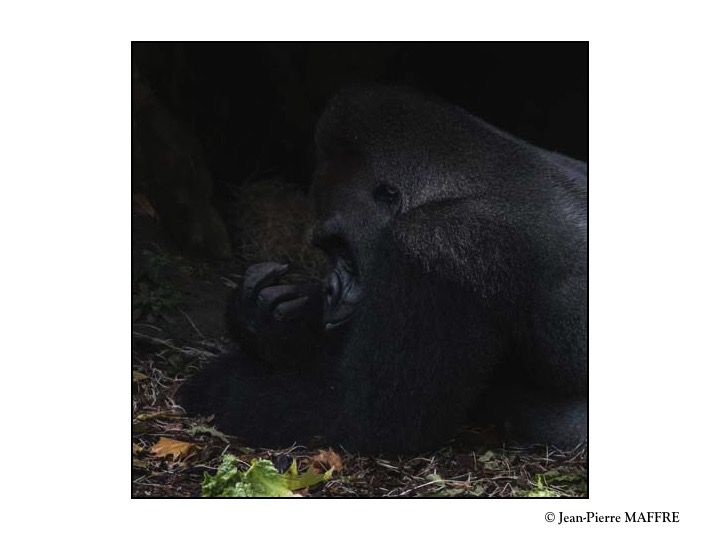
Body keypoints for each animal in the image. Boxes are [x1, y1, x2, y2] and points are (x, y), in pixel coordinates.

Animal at [179, 85, 584, 456]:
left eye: (340, 246)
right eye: (328, 250)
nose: (330, 289)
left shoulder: (440, 243)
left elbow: (362, 420)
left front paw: (213, 382)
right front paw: (270, 325)